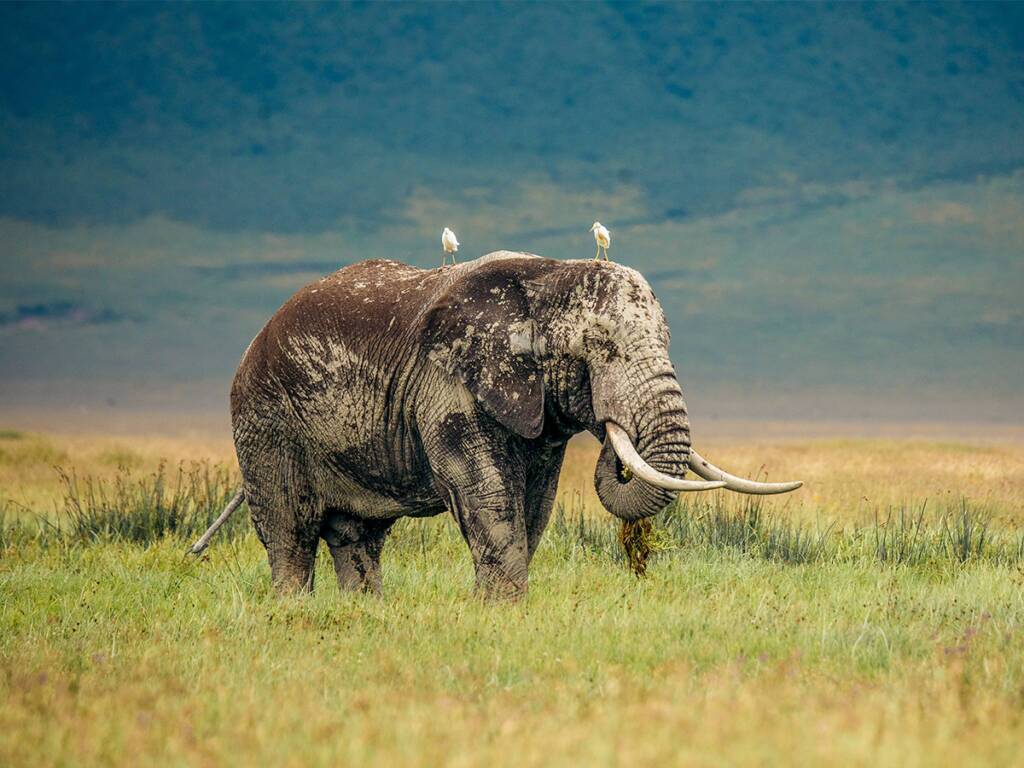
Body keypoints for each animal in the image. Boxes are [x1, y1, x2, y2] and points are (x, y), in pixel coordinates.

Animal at [190, 251, 801, 599]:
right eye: (601, 347)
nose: (613, 433)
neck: (548, 278)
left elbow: (536, 501)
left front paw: (509, 609)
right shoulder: (446, 386)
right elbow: (487, 492)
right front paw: (501, 607)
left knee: (358, 536)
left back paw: (365, 612)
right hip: (264, 419)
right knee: (289, 531)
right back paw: (293, 611)